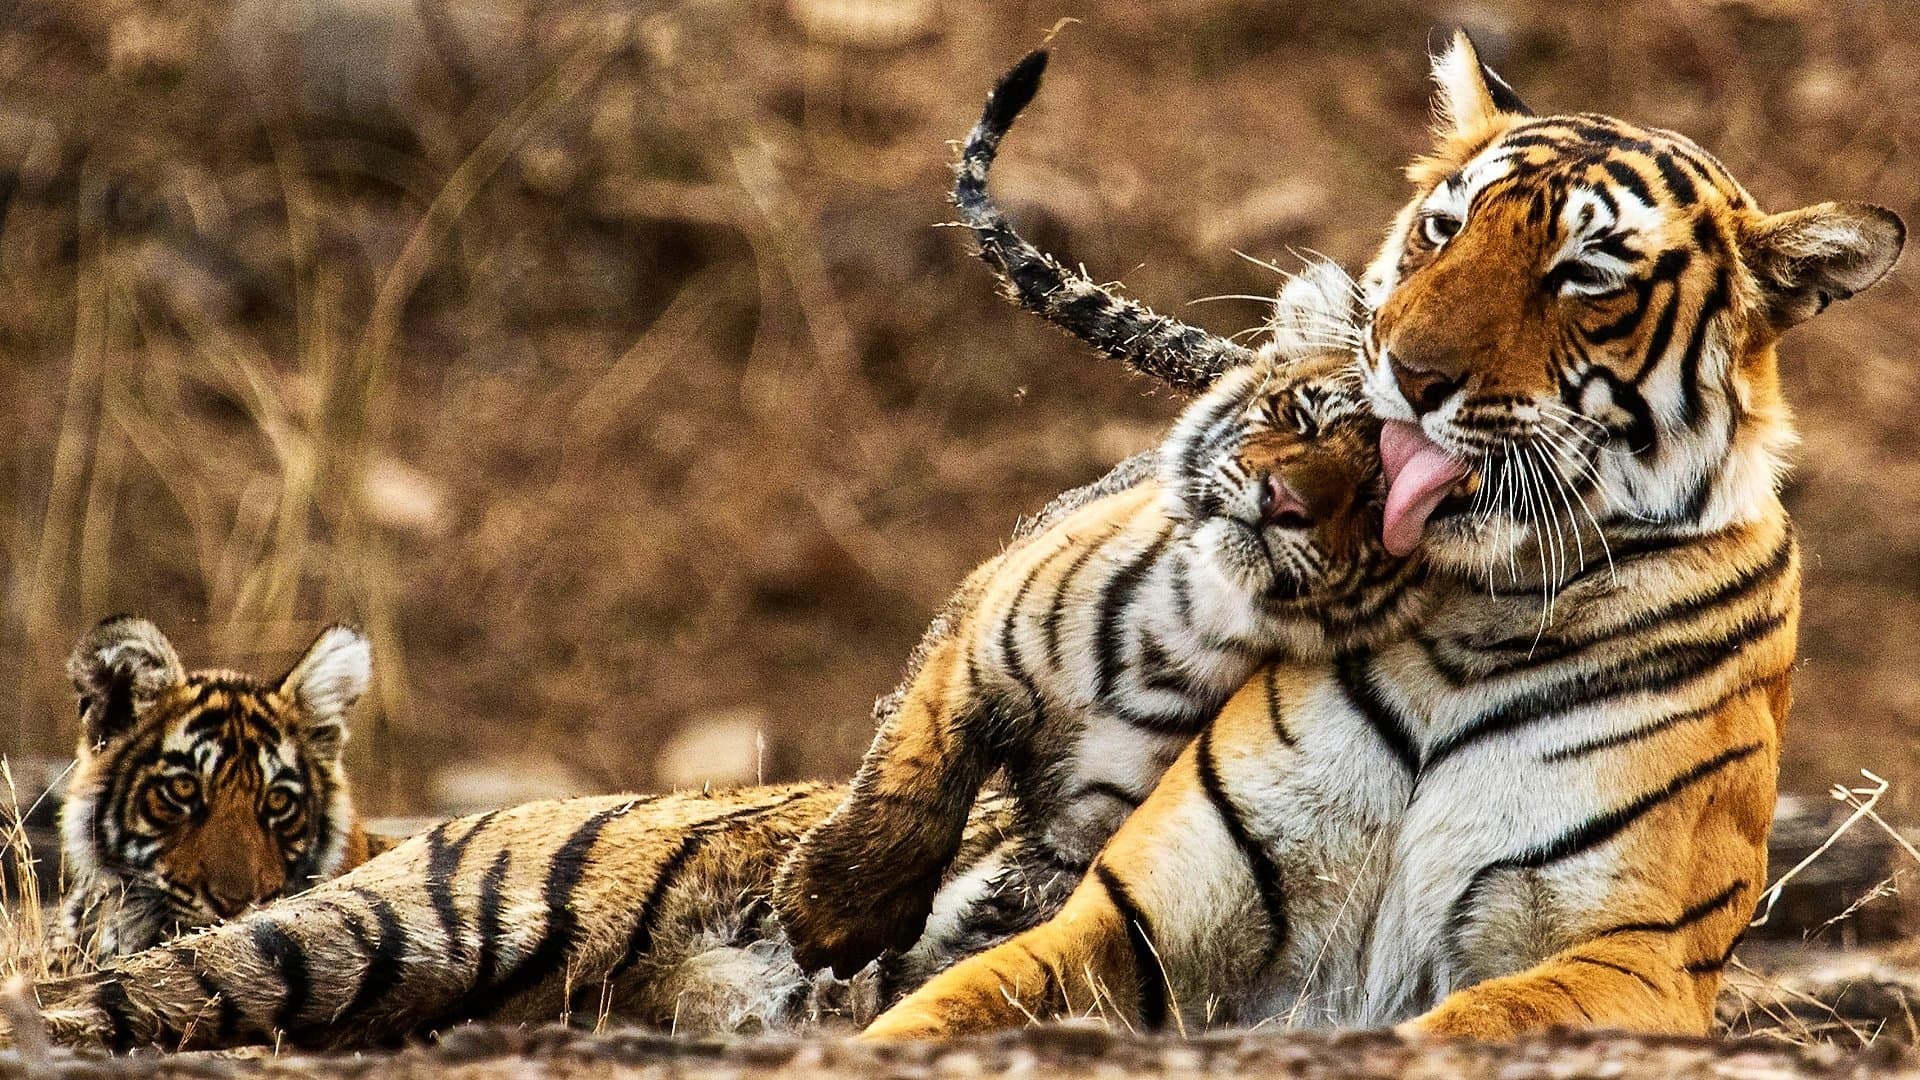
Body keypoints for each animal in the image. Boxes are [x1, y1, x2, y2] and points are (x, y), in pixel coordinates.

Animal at [772, 52, 1420, 981]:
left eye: (1379, 502)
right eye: (1305, 417)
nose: (1284, 503)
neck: (1189, 621)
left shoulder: (1085, 829)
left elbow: (1011, 921)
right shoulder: (977, 639)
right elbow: (913, 783)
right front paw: (833, 916)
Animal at [863, 35, 1902, 1042]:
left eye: (1585, 273)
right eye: (1444, 229)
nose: (1406, 372)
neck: (1480, 613)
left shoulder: (1637, 952)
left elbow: (1478, 1018)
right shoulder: (1138, 909)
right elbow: (949, 1005)